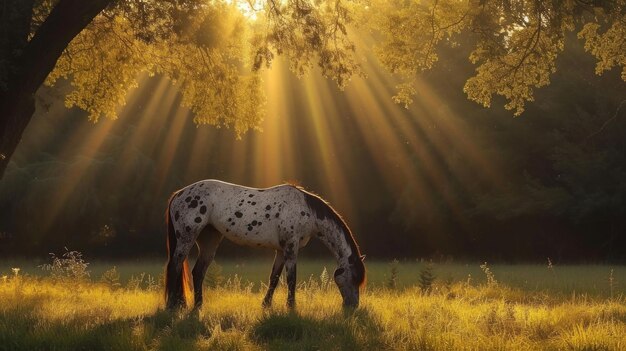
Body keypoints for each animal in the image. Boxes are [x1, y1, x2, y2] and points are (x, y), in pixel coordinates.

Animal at [165, 180, 366, 310]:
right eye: (353, 277)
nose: (353, 307)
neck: (306, 211)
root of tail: (178, 194)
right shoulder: (290, 248)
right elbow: (291, 279)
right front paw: (291, 307)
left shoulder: (281, 250)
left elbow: (274, 278)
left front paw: (266, 305)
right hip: (186, 238)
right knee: (175, 267)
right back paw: (173, 305)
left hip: (209, 241)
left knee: (198, 272)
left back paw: (198, 306)